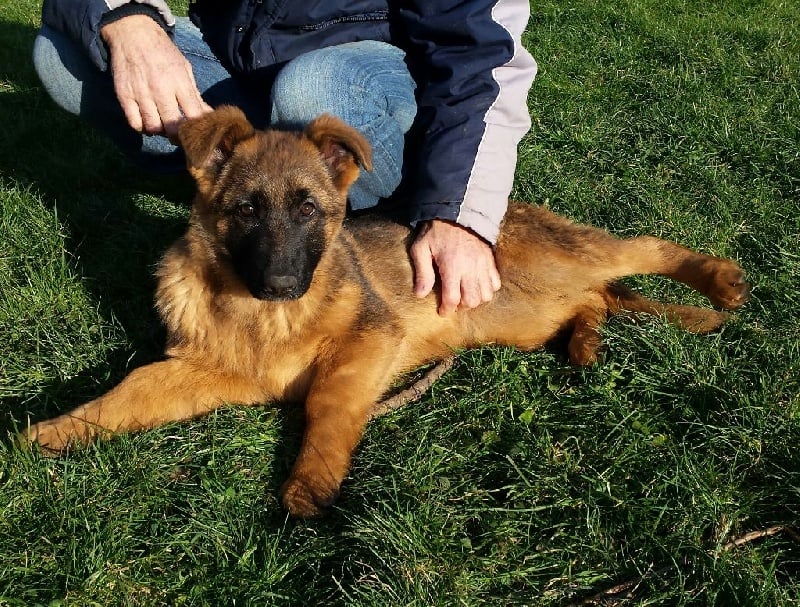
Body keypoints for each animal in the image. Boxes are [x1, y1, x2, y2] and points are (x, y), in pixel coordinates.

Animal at [25, 104, 752, 516]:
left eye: (308, 209)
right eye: (247, 209)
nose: (283, 283)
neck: (265, 319)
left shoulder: (371, 339)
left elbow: (329, 403)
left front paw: (311, 479)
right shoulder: (201, 370)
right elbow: (126, 394)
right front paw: (53, 430)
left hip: (564, 260)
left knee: (640, 251)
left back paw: (718, 281)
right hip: (525, 317)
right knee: (599, 299)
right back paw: (588, 341)